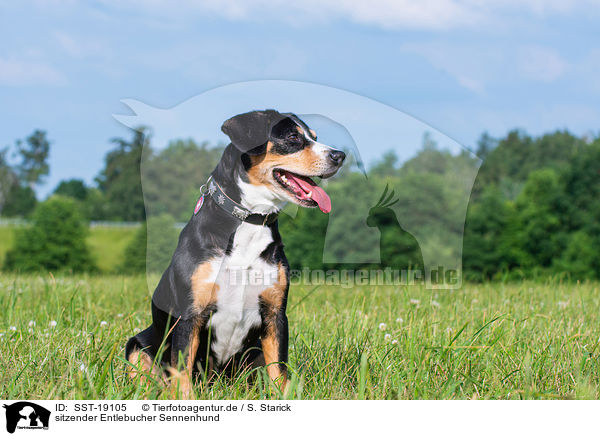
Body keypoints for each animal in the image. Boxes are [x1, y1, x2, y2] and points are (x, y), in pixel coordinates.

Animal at [124, 109, 344, 396]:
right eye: (293, 137)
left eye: (314, 137)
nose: (340, 156)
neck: (250, 221)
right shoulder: (189, 315)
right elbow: (182, 373)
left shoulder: (275, 314)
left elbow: (279, 371)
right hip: (137, 344)